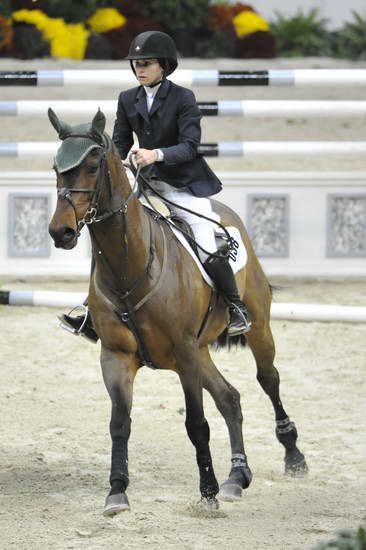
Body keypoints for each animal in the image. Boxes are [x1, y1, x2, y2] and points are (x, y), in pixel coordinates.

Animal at [47, 110, 308, 520]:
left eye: (91, 166)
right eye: (56, 168)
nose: (61, 232)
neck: (130, 267)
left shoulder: (184, 353)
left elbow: (196, 424)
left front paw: (207, 493)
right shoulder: (116, 356)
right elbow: (119, 423)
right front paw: (116, 492)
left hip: (255, 330)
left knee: (268, 379)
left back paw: (293, 455)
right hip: (199, 352)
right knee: (230, 397)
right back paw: (237, 476)